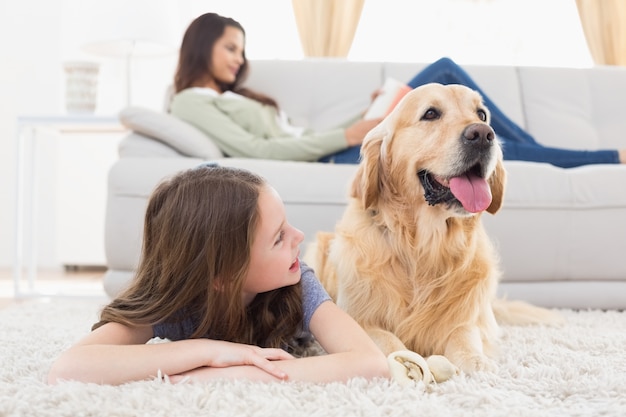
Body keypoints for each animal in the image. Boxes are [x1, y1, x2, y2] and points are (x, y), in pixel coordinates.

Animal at [304, 82, 564, 384]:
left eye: (482, 114)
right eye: (430, 114)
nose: (483, 135)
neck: (423, 246)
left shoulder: (466, 318)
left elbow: (464, 337)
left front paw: (478, 363)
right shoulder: (360, 319)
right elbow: (388, 342)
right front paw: (406, 363)